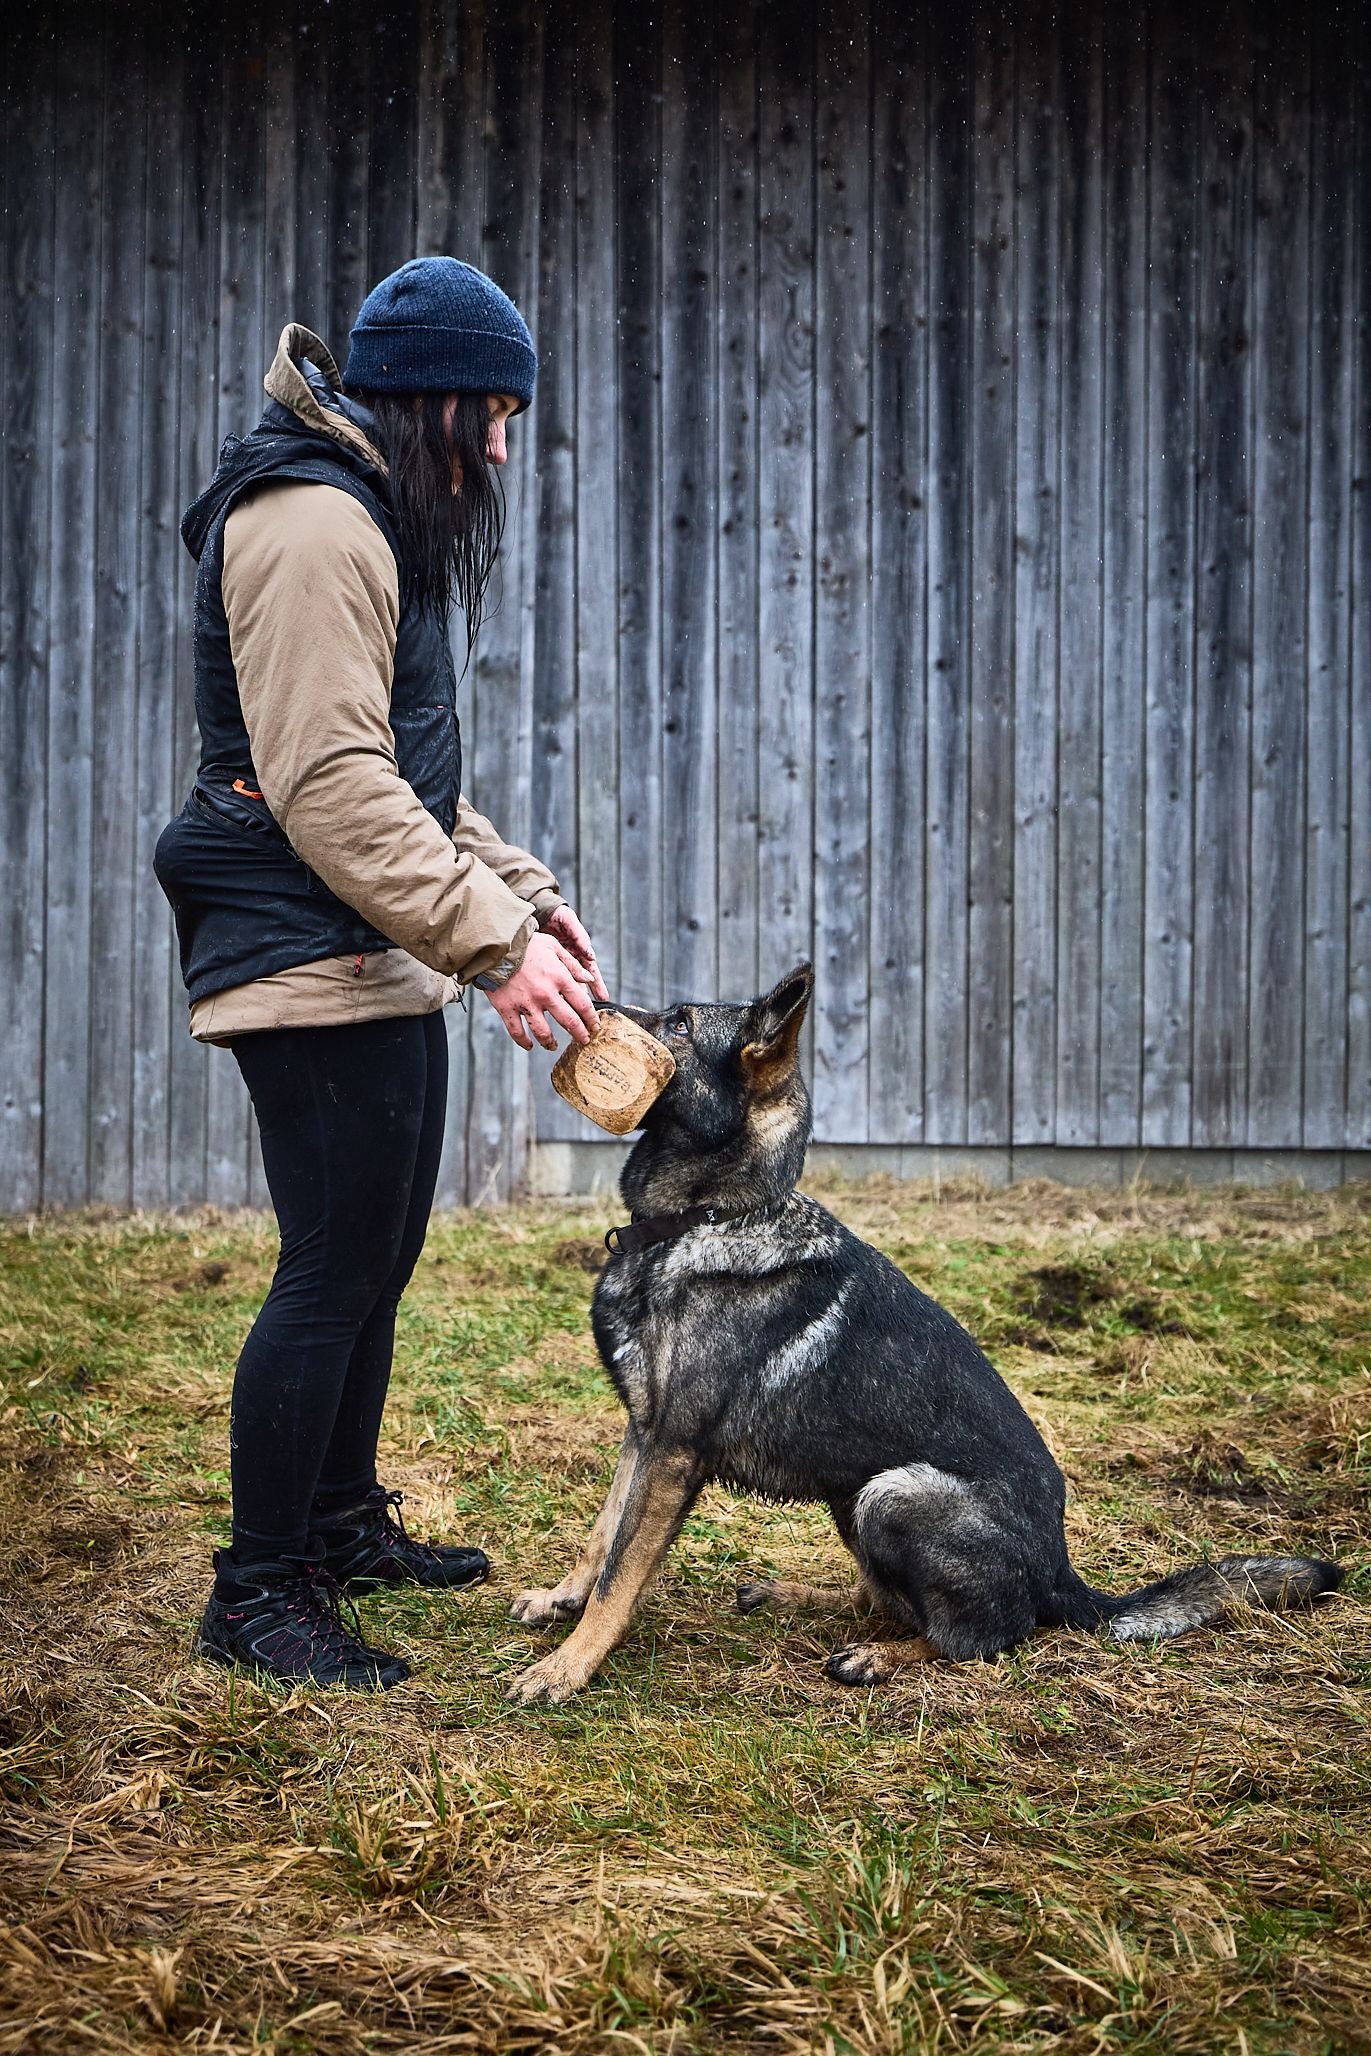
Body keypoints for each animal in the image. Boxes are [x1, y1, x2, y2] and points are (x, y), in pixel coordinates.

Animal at [503, 970, 1340, 1710]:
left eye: (678, 1022)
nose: (587, 1003)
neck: (710, 1217)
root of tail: (1061, 1577)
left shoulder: (674, 1450)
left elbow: (622, 1572)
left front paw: (568, 1667)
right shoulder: (643, 1432)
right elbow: (602, 1534)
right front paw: (561, 1600)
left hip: (894, 1492)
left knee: (985, 1635)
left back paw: (879, 1657)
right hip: (853, 1495)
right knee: (887, 1599)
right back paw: (787, 1593)